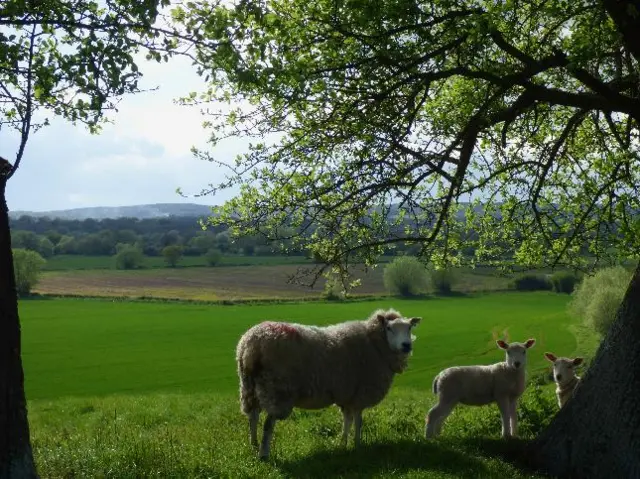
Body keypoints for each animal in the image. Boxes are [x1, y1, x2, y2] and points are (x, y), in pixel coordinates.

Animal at [235, 310, 420, 460]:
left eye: (409, 328)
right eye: (389, 328)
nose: (406, 345)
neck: (375, 345)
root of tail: (251, 345)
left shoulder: (347, 395)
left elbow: (347, 420)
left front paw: (343, 444)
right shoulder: (360, 394)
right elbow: (358, 421)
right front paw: (357, 445)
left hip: (249, 386)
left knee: (253, 416)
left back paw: (253, 445)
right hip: (277, 390)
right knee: (268, 423)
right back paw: (263, 454)